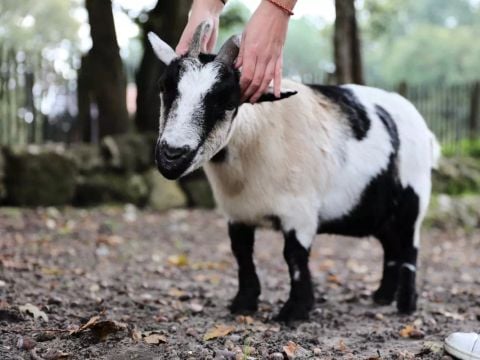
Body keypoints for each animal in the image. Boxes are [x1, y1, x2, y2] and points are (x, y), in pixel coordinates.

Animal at [148, 21, 440, 320]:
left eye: (228, 102)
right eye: (164, 88)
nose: (172, 155)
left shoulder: (300, 211)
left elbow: (294, 256)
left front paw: (295, 311)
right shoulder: (237, 212)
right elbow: (242, 253)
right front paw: (244, 303)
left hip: (413, 198)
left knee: (409, 248)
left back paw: (406, 305)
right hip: (380, 209)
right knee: (390, 245)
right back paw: (382, 297)